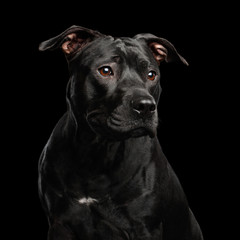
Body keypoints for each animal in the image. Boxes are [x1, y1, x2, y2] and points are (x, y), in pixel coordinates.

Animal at [38, 25, 203, 239]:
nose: (146, 106)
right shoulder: (60, 224)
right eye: (106, 70)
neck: (97, 152)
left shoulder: (144, 228)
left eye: (151, 74)